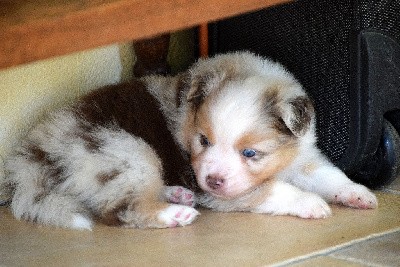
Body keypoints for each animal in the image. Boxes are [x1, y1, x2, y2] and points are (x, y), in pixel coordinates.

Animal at [3, 51, 378, 230]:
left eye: (250, 152)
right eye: (203, 140)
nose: (212, 180)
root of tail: (31, 156)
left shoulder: (300, 154)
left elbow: (328, 174)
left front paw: (358, 193)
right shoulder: (223, 190)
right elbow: (273, 190)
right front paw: (311, 203)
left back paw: (176, 195)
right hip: (125, 151)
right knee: (121, 209)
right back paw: (174, 214)